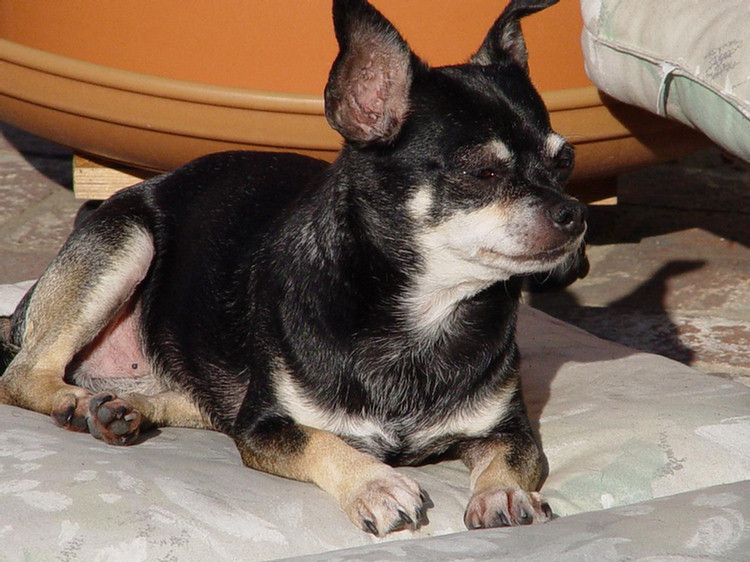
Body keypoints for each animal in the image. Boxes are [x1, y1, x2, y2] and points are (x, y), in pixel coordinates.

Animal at [0, 0, 588, 532]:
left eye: (565, 162)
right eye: (482, 173)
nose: (576, 212)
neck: (422, 316)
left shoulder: (511, 432)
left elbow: (507, 459)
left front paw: (503, 493)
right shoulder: (265, 427)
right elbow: (323, 441)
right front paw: (376, 484)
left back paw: (118, 408)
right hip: (125, 242)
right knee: (21, 376)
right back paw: (76, 400)